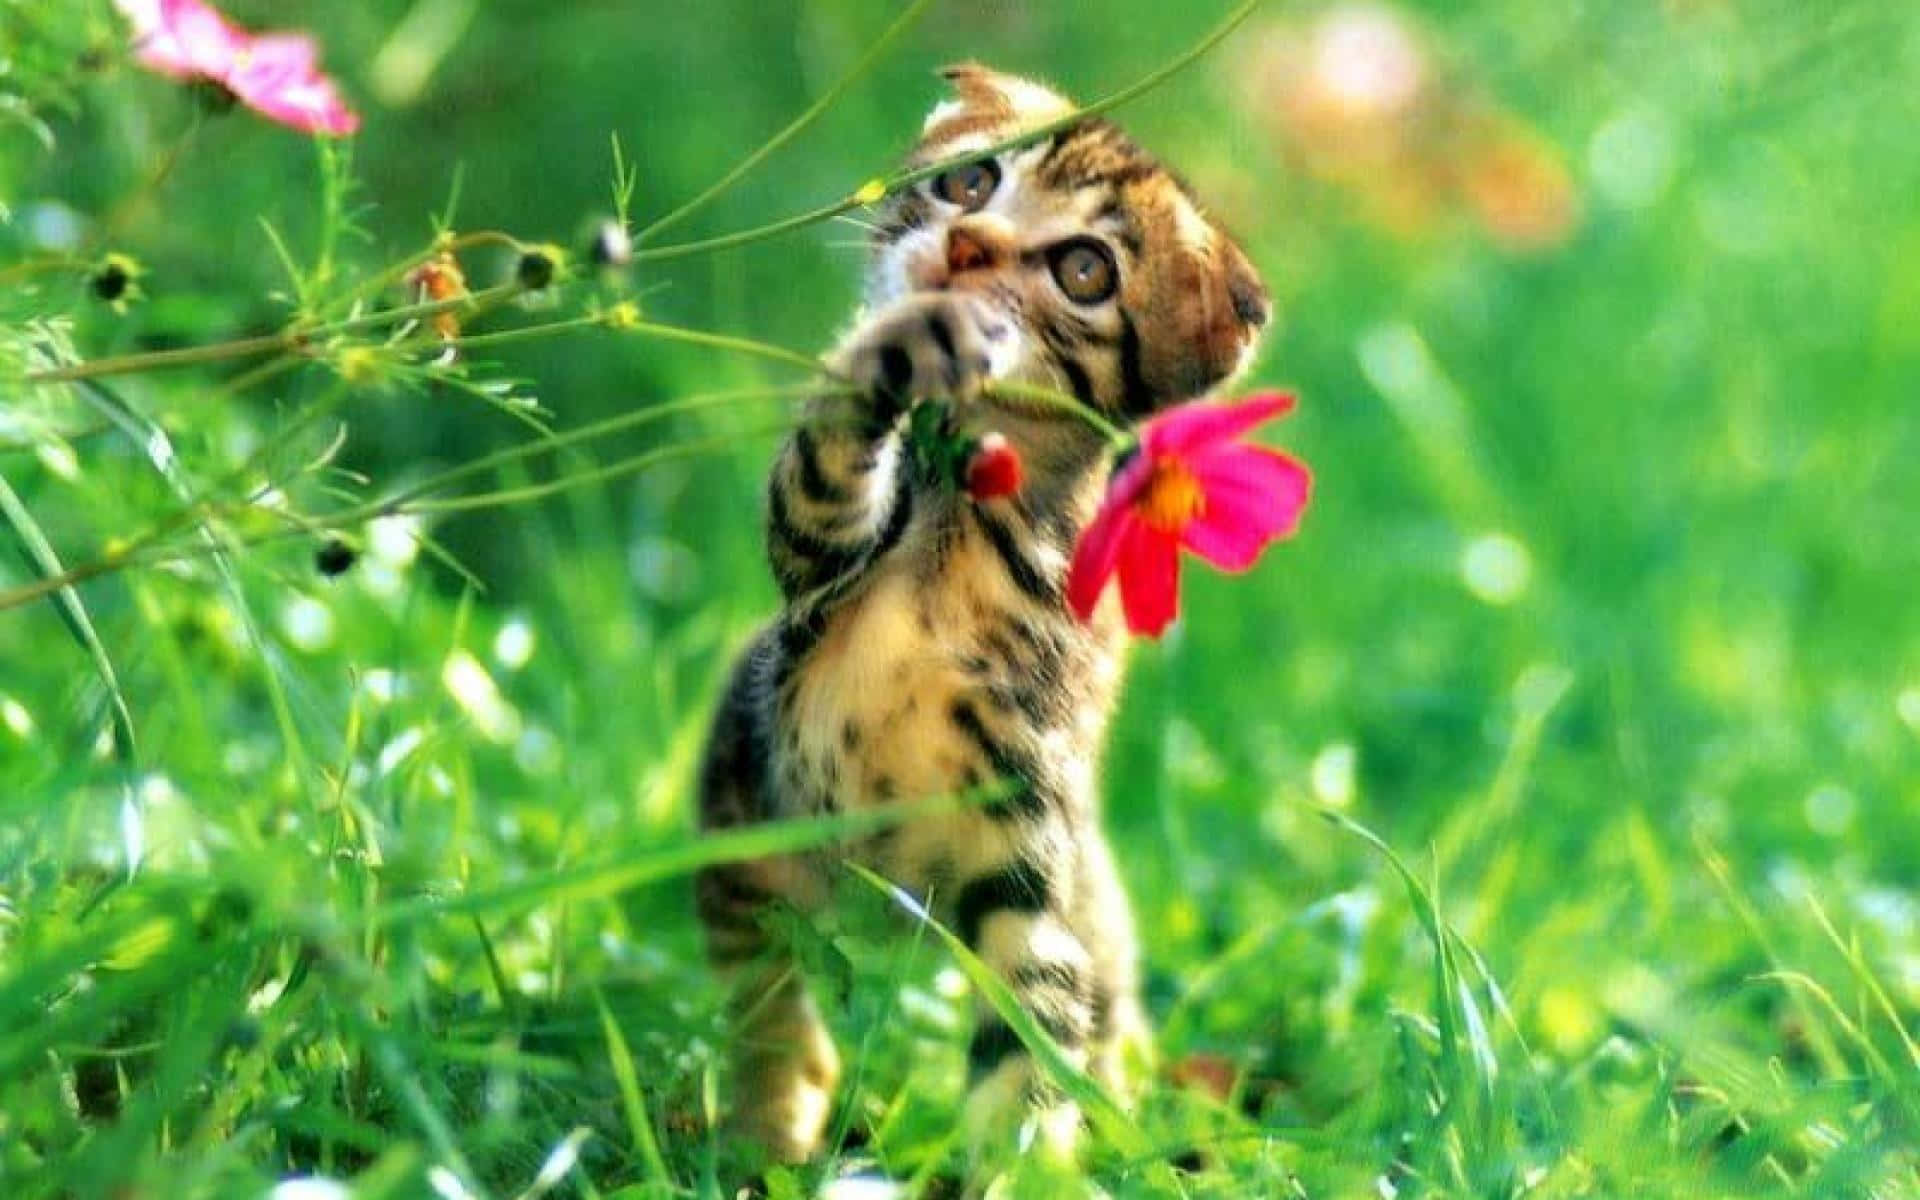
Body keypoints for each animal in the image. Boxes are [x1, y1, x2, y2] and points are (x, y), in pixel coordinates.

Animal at [694, 62, 1271, 1173]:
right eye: (970, 183)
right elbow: (821, 474)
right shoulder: (812, 571)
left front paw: (1021, 1169)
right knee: (764, 986)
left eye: (1085, 271)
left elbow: (1031, 1048)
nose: (967, 248)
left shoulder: (1023, 845)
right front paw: (900, 345)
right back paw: (770, 1119)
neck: (958, 522)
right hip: (744, 802)